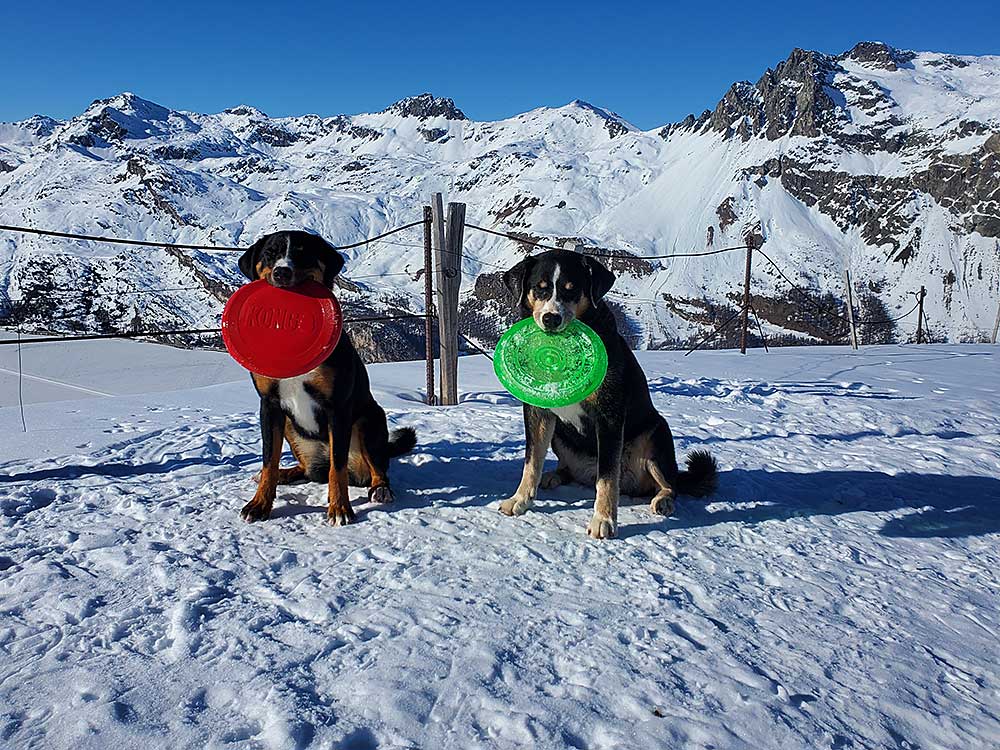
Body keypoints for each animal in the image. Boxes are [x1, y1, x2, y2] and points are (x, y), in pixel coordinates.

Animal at [235, 232, 414, 524]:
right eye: (270, 253)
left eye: (302, 252)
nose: (282, 271)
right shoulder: (269, 405)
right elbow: (268, 460)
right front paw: (259, 503)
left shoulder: (337, 407)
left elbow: (337, 468)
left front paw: (340, 508)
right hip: (290, 426)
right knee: (305, 469)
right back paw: (287, 473)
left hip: (370, 420)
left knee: (376, 468)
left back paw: (381, 490)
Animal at [500, 251, 720, 540]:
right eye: (540, 287)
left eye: (572, 289)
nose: (551, 318)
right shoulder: (537, 412)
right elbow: (531, 461)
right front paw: (520, 500)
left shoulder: (609, 416)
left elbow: (607, 476)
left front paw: (603, 520)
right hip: (560, 434)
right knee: (568, 470)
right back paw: (554, 476)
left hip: (656, 434)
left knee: (670, 484)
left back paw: (663, 500)